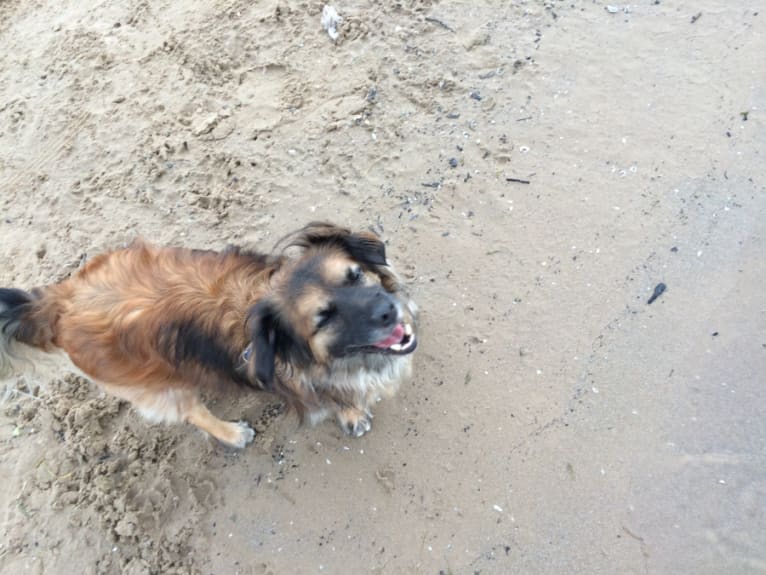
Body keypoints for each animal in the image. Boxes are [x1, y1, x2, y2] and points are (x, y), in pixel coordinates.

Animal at [0, 223, 420, 448]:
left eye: (355, 275)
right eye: (324, 317)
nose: (389, 312)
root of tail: (59, 302)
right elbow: (336, 395)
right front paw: (351, 412)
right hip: (159, 384)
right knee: (191, 412)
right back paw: (231, 433)